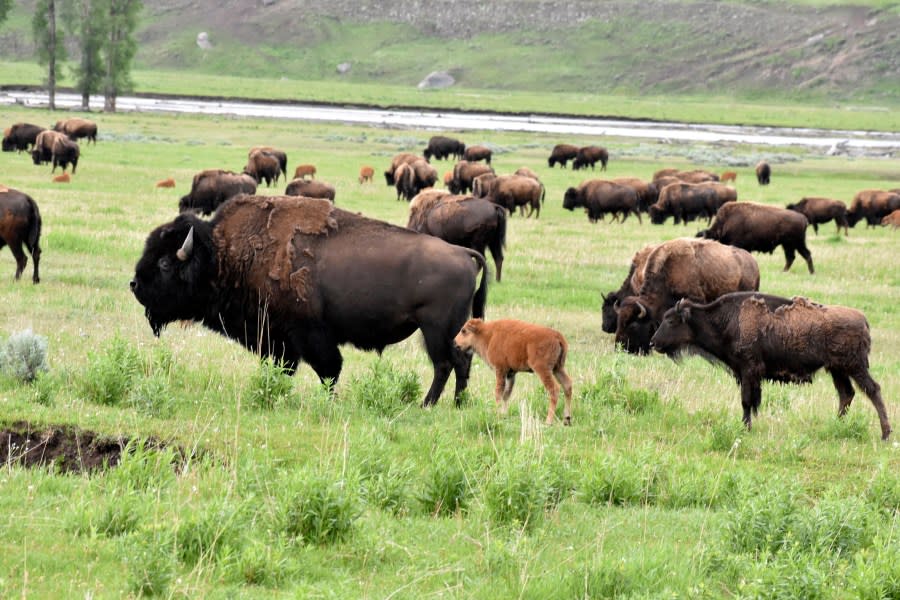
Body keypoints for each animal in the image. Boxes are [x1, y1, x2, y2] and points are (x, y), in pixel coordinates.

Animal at [128, 197, 486, 408]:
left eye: (164, 264)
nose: (134, 285)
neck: (222, 255)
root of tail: (463, 253)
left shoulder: (307, 334)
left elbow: (328, 369)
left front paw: (328, 401)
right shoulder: (276, 339)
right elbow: (283, 367)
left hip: (436, 329)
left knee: (447, 363)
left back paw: (431, 404)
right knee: (458, 363)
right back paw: (454, 404)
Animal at [652, 292, 892, 440]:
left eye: (671, 321)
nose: (653, 343)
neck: (727, 320)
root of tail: (863, 320)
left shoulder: (748, 371)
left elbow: (746, 401)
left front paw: (745, 428)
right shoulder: (745, 374)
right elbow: (750, 401)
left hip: (854, 367)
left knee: (872, 390)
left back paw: (885, 434)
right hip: (837, 369)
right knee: (846, 394)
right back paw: (837, 426)